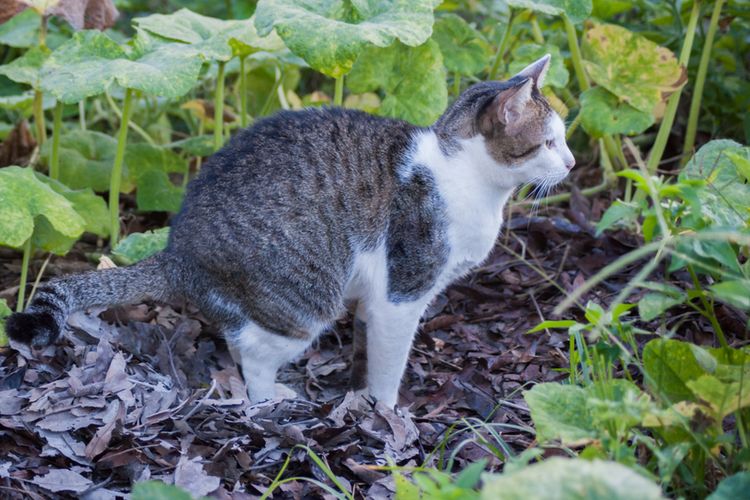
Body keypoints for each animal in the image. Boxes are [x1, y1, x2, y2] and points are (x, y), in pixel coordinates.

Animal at [5, 53, 576, 406]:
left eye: (564, 139)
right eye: (549, 142)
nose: (571, 163)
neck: (468, 179)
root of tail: (177, 252)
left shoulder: (375, 296)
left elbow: (366, 349)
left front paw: (359, 394)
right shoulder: (403, 289)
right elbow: (389, 362)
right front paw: (386, 413)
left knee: (241, 341)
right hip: (305, 301)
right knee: (256, 356)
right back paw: (269, 399)